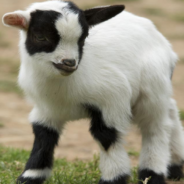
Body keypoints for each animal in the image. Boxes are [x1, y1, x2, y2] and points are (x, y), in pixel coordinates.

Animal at [1, 0, 184, 184]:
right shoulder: (46, 109)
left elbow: (106, 135)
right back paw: (175, 166)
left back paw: (152, 174)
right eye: (40, 37)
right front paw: (30, 176)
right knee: (170, 110)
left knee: (155, 127)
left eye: (83, 38)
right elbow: (43, 135)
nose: (69, 63)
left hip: (151, 87)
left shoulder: (112, 98)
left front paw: (114, 178)